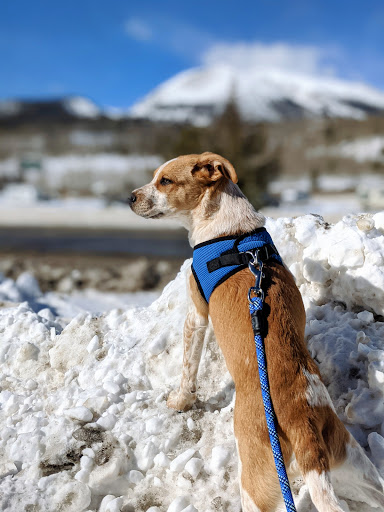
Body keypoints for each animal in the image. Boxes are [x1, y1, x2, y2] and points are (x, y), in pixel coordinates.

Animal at [130, 153, 384, 512]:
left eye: (165, 181)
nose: (130, 197)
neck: (233, 231)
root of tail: (302, 421)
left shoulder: (197, 315)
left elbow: (188, 368)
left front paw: (180, 401)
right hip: (359, 472)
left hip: (254, 488)